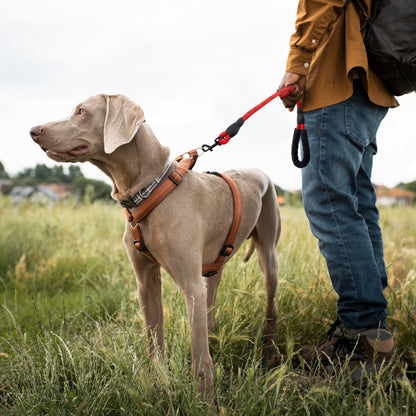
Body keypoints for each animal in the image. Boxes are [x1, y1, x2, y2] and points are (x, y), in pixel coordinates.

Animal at [30, 93, 282, 400]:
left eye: (81, 111)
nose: (33, 131)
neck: (148, 190)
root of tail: (259, 171)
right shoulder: (146, 281)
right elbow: (154, 341)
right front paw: (160, 383)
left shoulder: (190, 286)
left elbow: (200, 357)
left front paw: (205, 401)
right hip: (215, 262)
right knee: (212, 299)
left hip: (268, 255)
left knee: (270, 304)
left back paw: (269, 352)